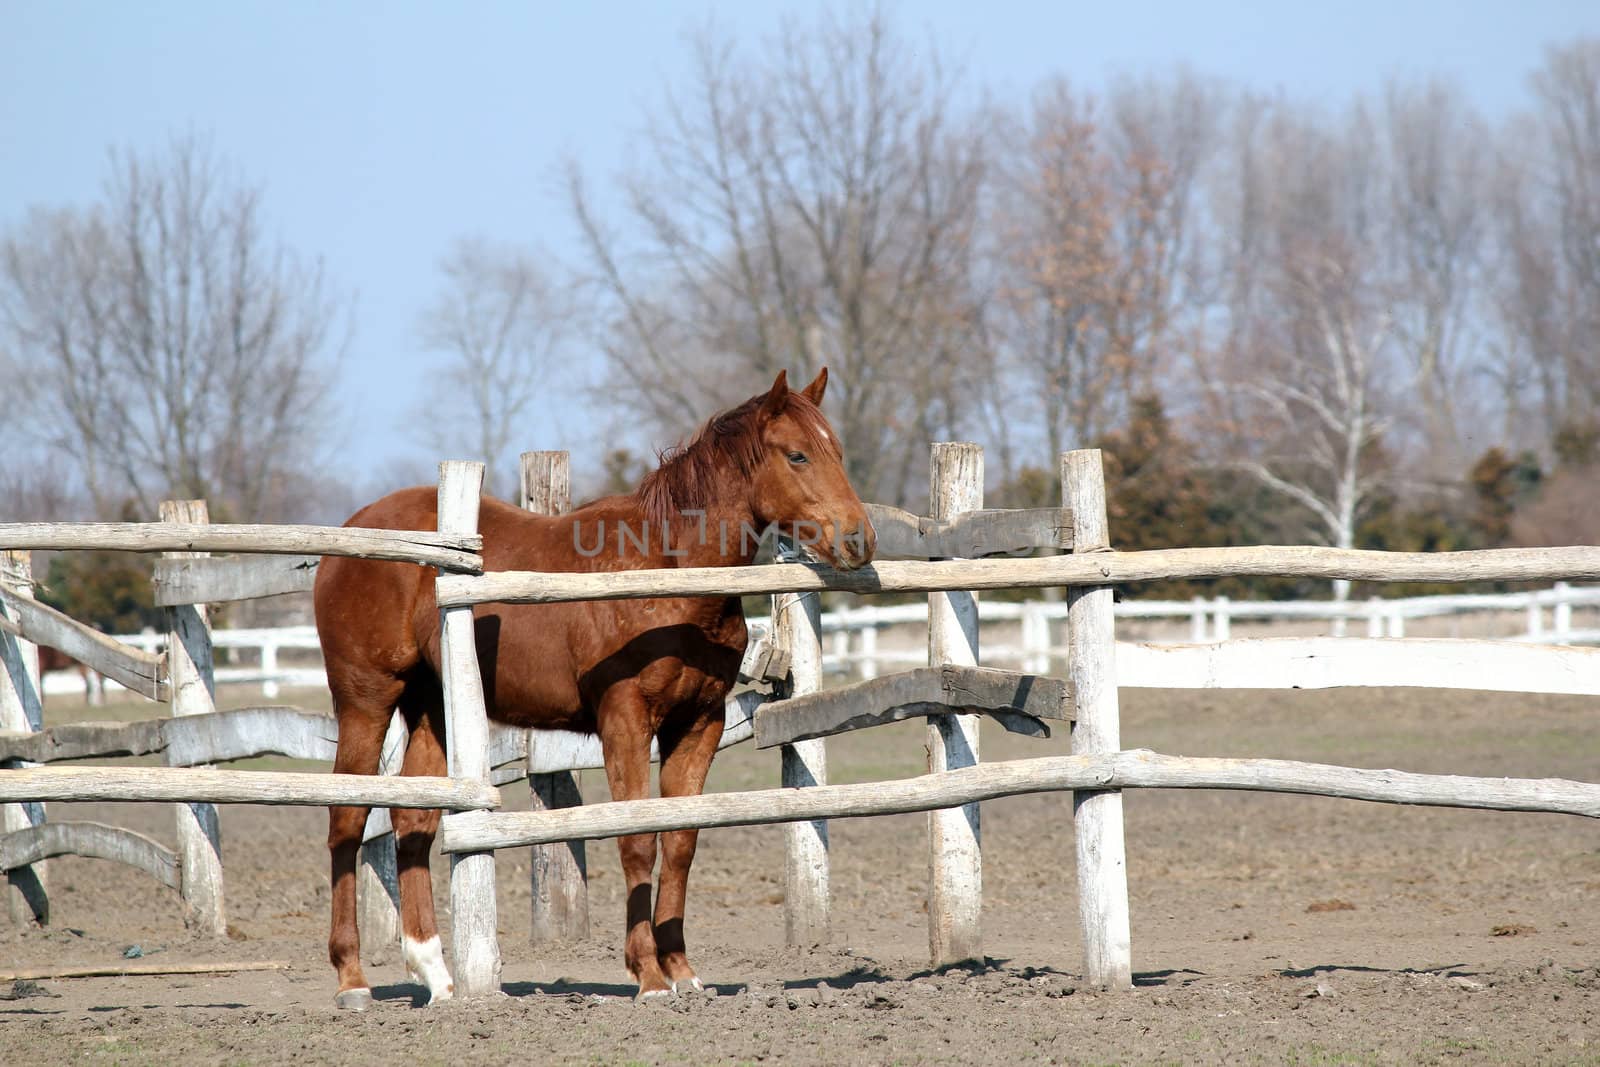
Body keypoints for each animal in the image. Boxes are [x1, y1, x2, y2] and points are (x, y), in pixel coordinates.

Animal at [313, 369, 876, 1011]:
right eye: (798, 454)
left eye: (836, 451)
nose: (860, 540)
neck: (668, 573)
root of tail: (352, 533)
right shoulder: (624, 721)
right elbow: (636, 840)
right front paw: (649, 977)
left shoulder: (698, 722)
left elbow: (680, 840)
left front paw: (682, 971)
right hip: (367, 701)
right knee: (347, 818)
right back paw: (353, 979)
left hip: (433, 709)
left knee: (414, 822)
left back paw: (438, 977)